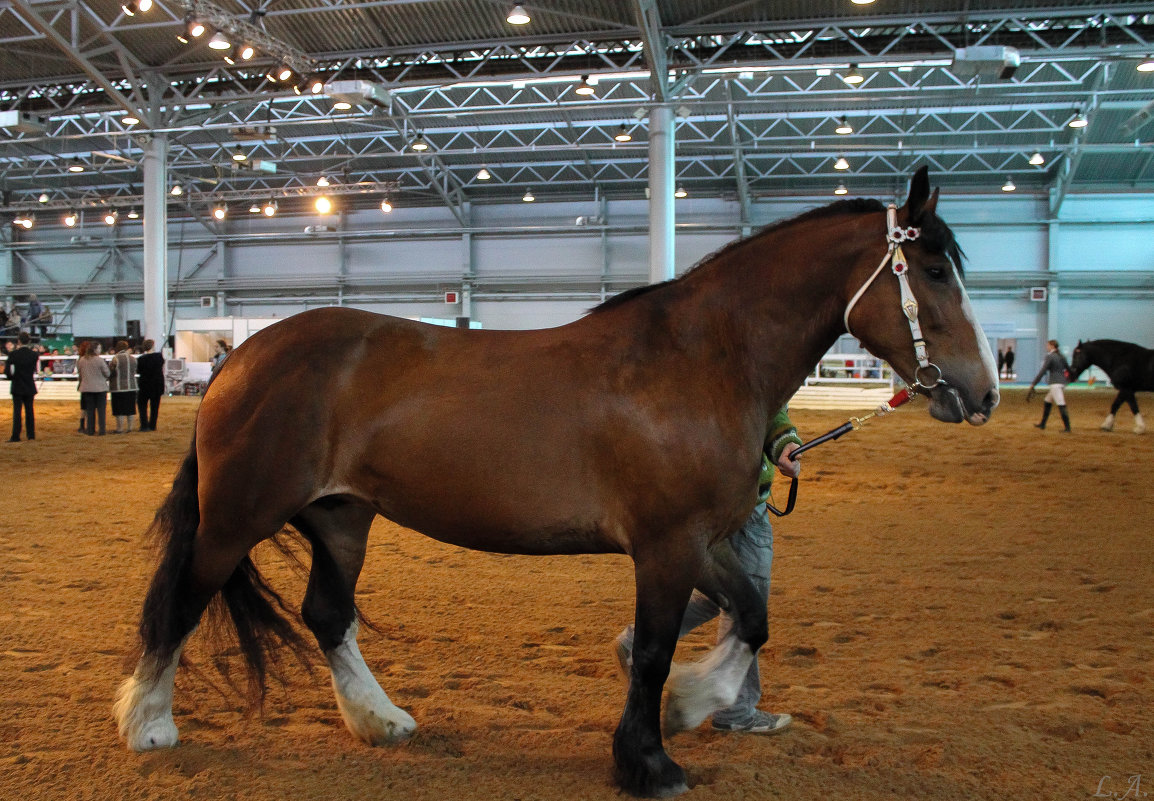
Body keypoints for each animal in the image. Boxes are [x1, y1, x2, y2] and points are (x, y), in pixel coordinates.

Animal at [114, 167, 1001, 798]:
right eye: (932, 267)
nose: (983, 390)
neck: (700, 359)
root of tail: (239, 360)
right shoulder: (665, 546)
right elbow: (653, 650)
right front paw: (649, 760)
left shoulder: (700, 540)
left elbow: (752, 617)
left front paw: (691, 707)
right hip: (238, 516)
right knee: (182, 599)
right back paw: (148, 724)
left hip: (341, 517)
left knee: (328, 615)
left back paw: (382, 720)